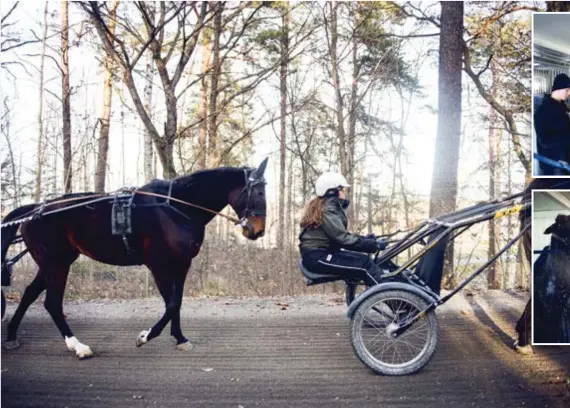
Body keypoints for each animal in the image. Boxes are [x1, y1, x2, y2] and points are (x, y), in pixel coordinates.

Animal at [0, 159, 266, 356]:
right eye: (258, 192)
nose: (258, 231)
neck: (175, 208)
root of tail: (33, 210)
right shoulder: (158, 265)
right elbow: (171, 304)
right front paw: (146, 336)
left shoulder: (182, 263)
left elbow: (177, 302)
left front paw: (180, 338)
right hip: (55, 263)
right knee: (52, 303)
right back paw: (78, 346)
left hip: (52, 263)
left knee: (29, 294)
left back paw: (11, 336)